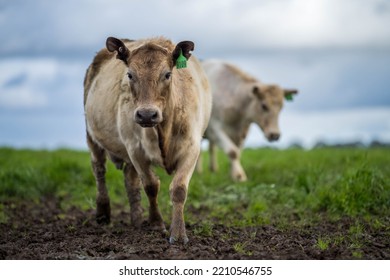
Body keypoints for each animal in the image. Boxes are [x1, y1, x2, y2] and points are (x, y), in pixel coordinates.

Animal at [83, 36, 212, 244]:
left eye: (167, 74)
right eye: (130, 75)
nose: (146, 114)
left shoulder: (191, 148)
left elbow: (178, 189)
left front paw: (178, 233)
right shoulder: (135, 150)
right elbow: (151, 186)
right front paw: (156, 223)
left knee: (130, 181)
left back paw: (136, 219)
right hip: (92, 136)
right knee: (99, 170)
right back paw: (103, 213)